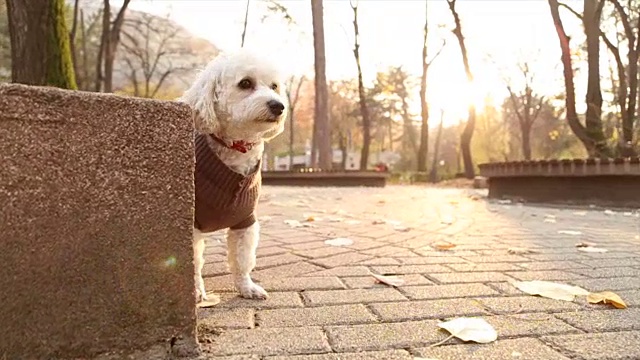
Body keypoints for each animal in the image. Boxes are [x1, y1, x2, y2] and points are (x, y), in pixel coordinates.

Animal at [181, 50, 288, 304]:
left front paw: (246, 287)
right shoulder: (193, 226)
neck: (236, 149)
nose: (278, 106)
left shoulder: (245, 221)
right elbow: (194, 264)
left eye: (274, 86)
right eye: (245, 83)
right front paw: (196, 292)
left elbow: (242, 260)